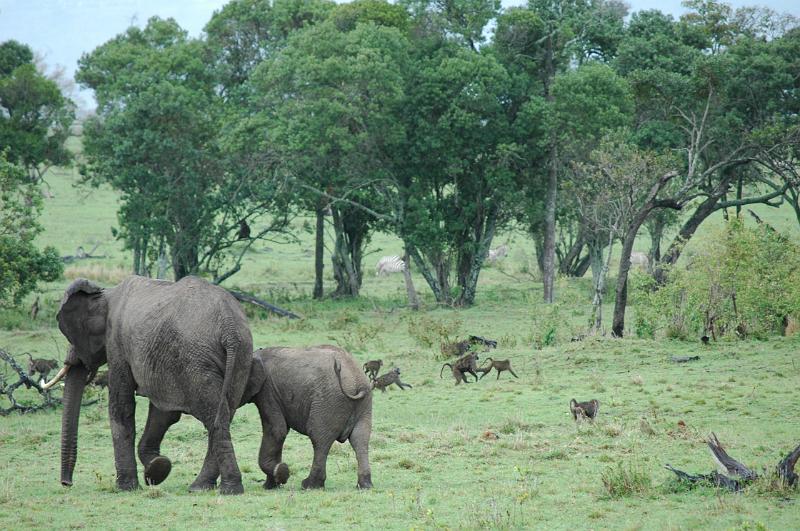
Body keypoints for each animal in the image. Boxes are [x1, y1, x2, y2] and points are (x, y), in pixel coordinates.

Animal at [44, 275, 253, 495]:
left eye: (73, 337)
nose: (66, 483)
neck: (105, 294)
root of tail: (229, 326)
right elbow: (163, 413)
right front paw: (158, 468)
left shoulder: (117, 345)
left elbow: (122, 406)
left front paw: (127, 487)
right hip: (240, 357)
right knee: (224, 415)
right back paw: (202, 487)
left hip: (197, 360)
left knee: (215, 419)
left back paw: (226, 490)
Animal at [243, 345, 373, 490]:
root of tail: (356, 383)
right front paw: (273, 483)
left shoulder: (268, 392)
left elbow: (276, 430)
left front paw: (273, 482)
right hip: (364, 404)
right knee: (360, 439)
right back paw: (365, 485)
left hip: (328, 401)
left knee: (320, 439)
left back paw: (309, 485)